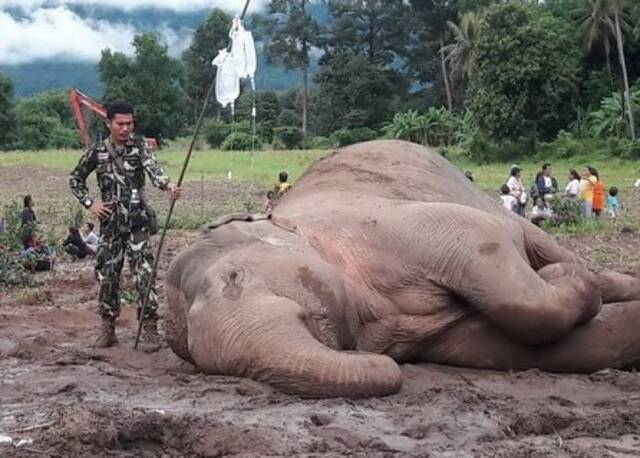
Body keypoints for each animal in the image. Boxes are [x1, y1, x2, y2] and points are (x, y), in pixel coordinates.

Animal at [164, 140, 640, 398]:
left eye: (234, 278)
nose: (389, 366)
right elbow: (498, 344)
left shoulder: (398, 228)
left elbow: (493, 255)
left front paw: (564, 279)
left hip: (483, 198)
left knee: (535, 238)